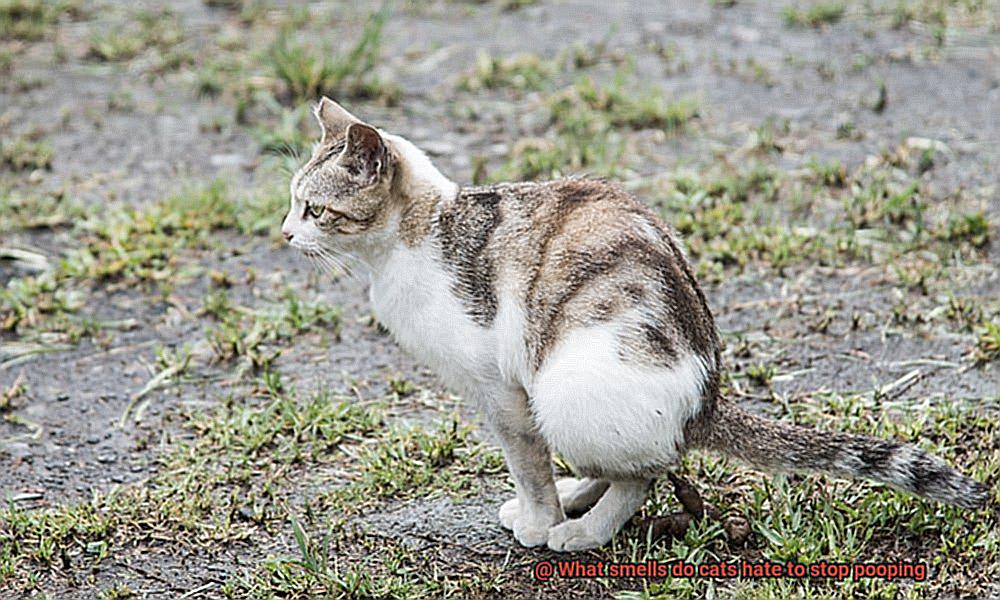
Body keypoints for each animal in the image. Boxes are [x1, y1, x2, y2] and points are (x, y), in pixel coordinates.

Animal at [280, 96, 984, 552]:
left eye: (314, 209)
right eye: (291, 203)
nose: (283, 234)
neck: (416, 239)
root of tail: (705, 398)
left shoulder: (500, 391)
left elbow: (526, 462)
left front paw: (539, 520)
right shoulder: (507, 394)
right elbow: (533, 462)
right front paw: (546, 504)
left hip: (565, 384)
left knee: (645, 472)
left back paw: (581, 531)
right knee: (629, 460)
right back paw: (580, 497)